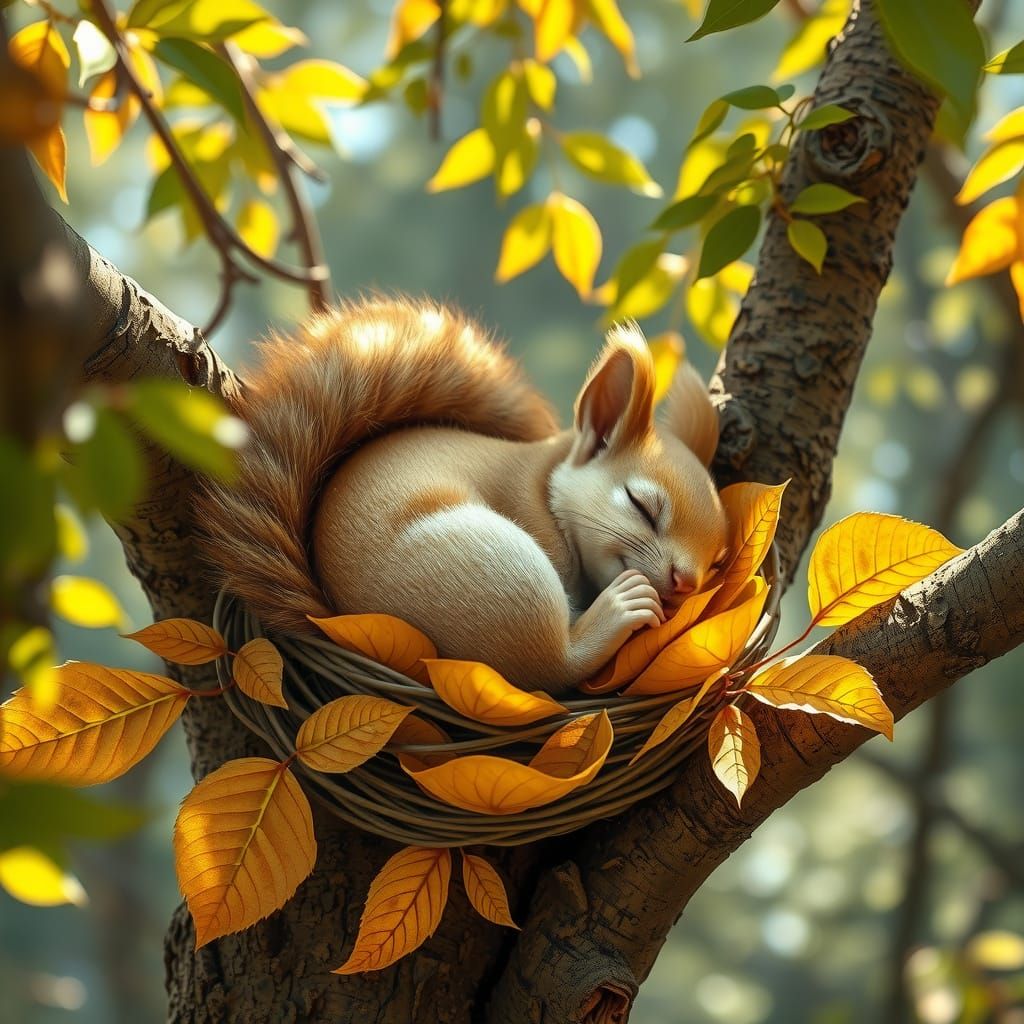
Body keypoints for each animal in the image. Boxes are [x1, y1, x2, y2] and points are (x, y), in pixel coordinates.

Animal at [199, 297, 728, 696]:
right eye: (642, 506)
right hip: (496, 574)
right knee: (554, 666)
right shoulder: (529, 511)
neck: (545, 478)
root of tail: (336, 618)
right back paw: (617, 608)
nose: (684, 582)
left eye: (715, 559)